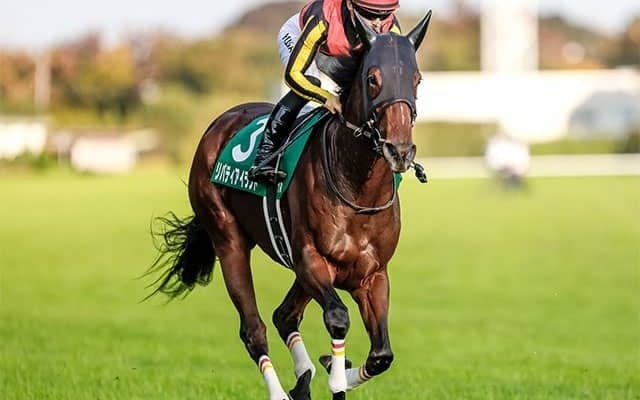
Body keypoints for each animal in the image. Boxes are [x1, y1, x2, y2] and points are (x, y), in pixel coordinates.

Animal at [148, 11, 431, 400]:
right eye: (373, 79)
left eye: (416, 80)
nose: (400, 150)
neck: (357, 188)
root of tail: (221, 122)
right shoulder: (312, 260)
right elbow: (338, 317)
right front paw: (335, 376)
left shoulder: (371, 274)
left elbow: (381, 355)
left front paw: (334, 367)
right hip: (228, 238)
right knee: (253, 329)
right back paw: (282, 390)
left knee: (284, 316)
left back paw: (305, 375)